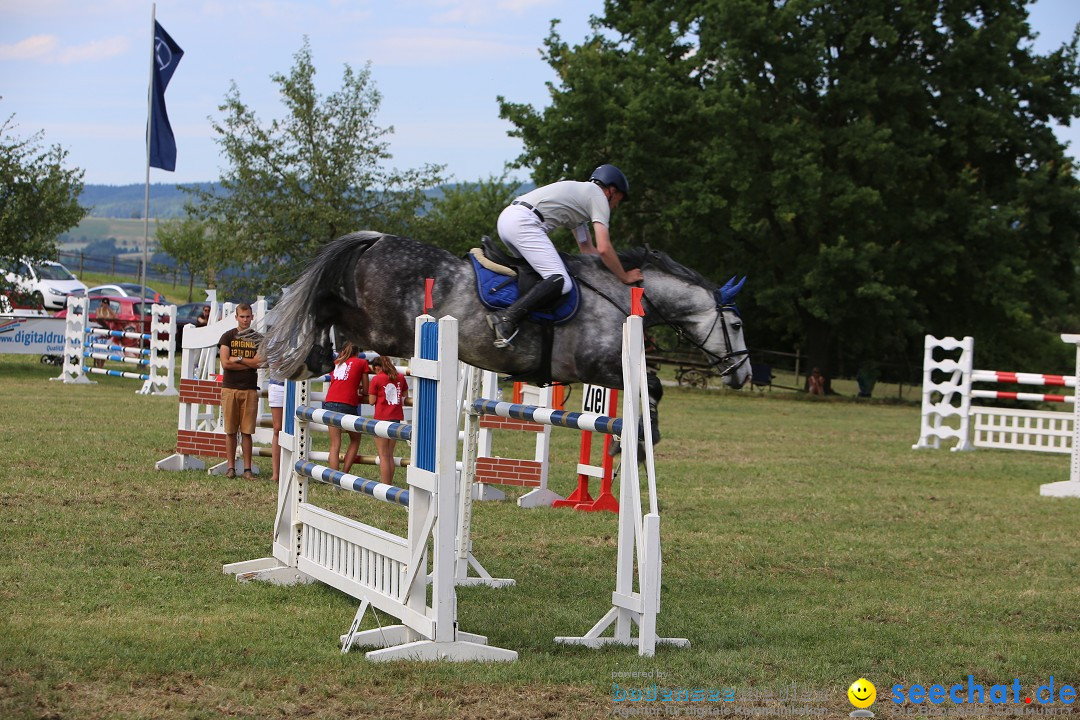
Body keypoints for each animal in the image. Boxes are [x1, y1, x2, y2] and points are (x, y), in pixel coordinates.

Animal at [261, 231, 751, 436]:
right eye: (737, 325)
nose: (743, 375)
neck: (618, 294)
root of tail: (376, 240)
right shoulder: (600, 365)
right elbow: (651, 386)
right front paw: (643, 443)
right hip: (384, 328)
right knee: (327, 304)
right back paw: (308, 356)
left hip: (382, 331)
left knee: (335, 318)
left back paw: (314, 356)